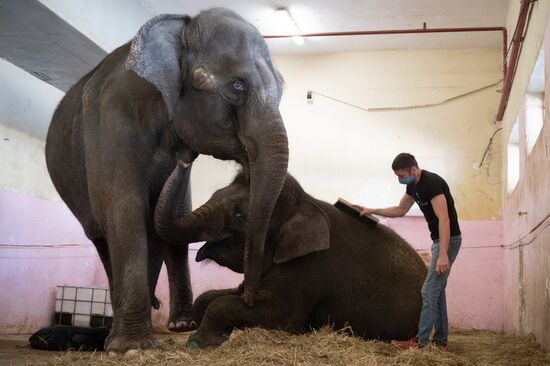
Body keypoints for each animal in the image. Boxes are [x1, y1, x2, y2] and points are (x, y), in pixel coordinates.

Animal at [45, 7, 292, 352]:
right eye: (237, 86)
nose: (248, 296)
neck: (183, 28)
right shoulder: (110, 121)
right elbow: (126, 209)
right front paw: (130, 347)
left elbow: (155, 220)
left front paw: (132, 341)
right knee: (101, 238)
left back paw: (179, 324)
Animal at [154, 162, 426, 348]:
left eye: (240, 216)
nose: (183, 162)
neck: (303, 204)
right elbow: (219, 296)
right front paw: (187, 326)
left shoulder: (309, 266)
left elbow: (281, 317)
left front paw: (198, 342)